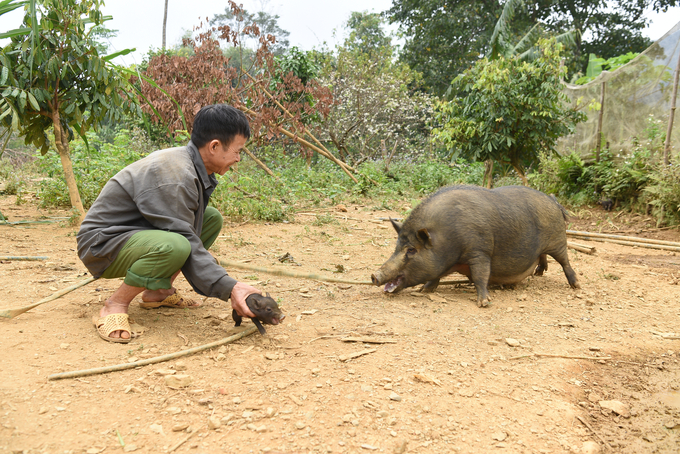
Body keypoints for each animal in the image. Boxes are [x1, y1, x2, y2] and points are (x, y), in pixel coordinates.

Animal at [372, 185, 580, 308]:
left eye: (411, 250)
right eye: (397, 246)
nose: (374, 275)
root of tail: (553, 200)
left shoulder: (480, 251)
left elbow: (481, 275)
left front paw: (484, 303)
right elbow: (435, 276)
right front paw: (423, 291)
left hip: (558, 240)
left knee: (565, 261)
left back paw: (575, 285)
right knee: (543, 257)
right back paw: (538, 273)